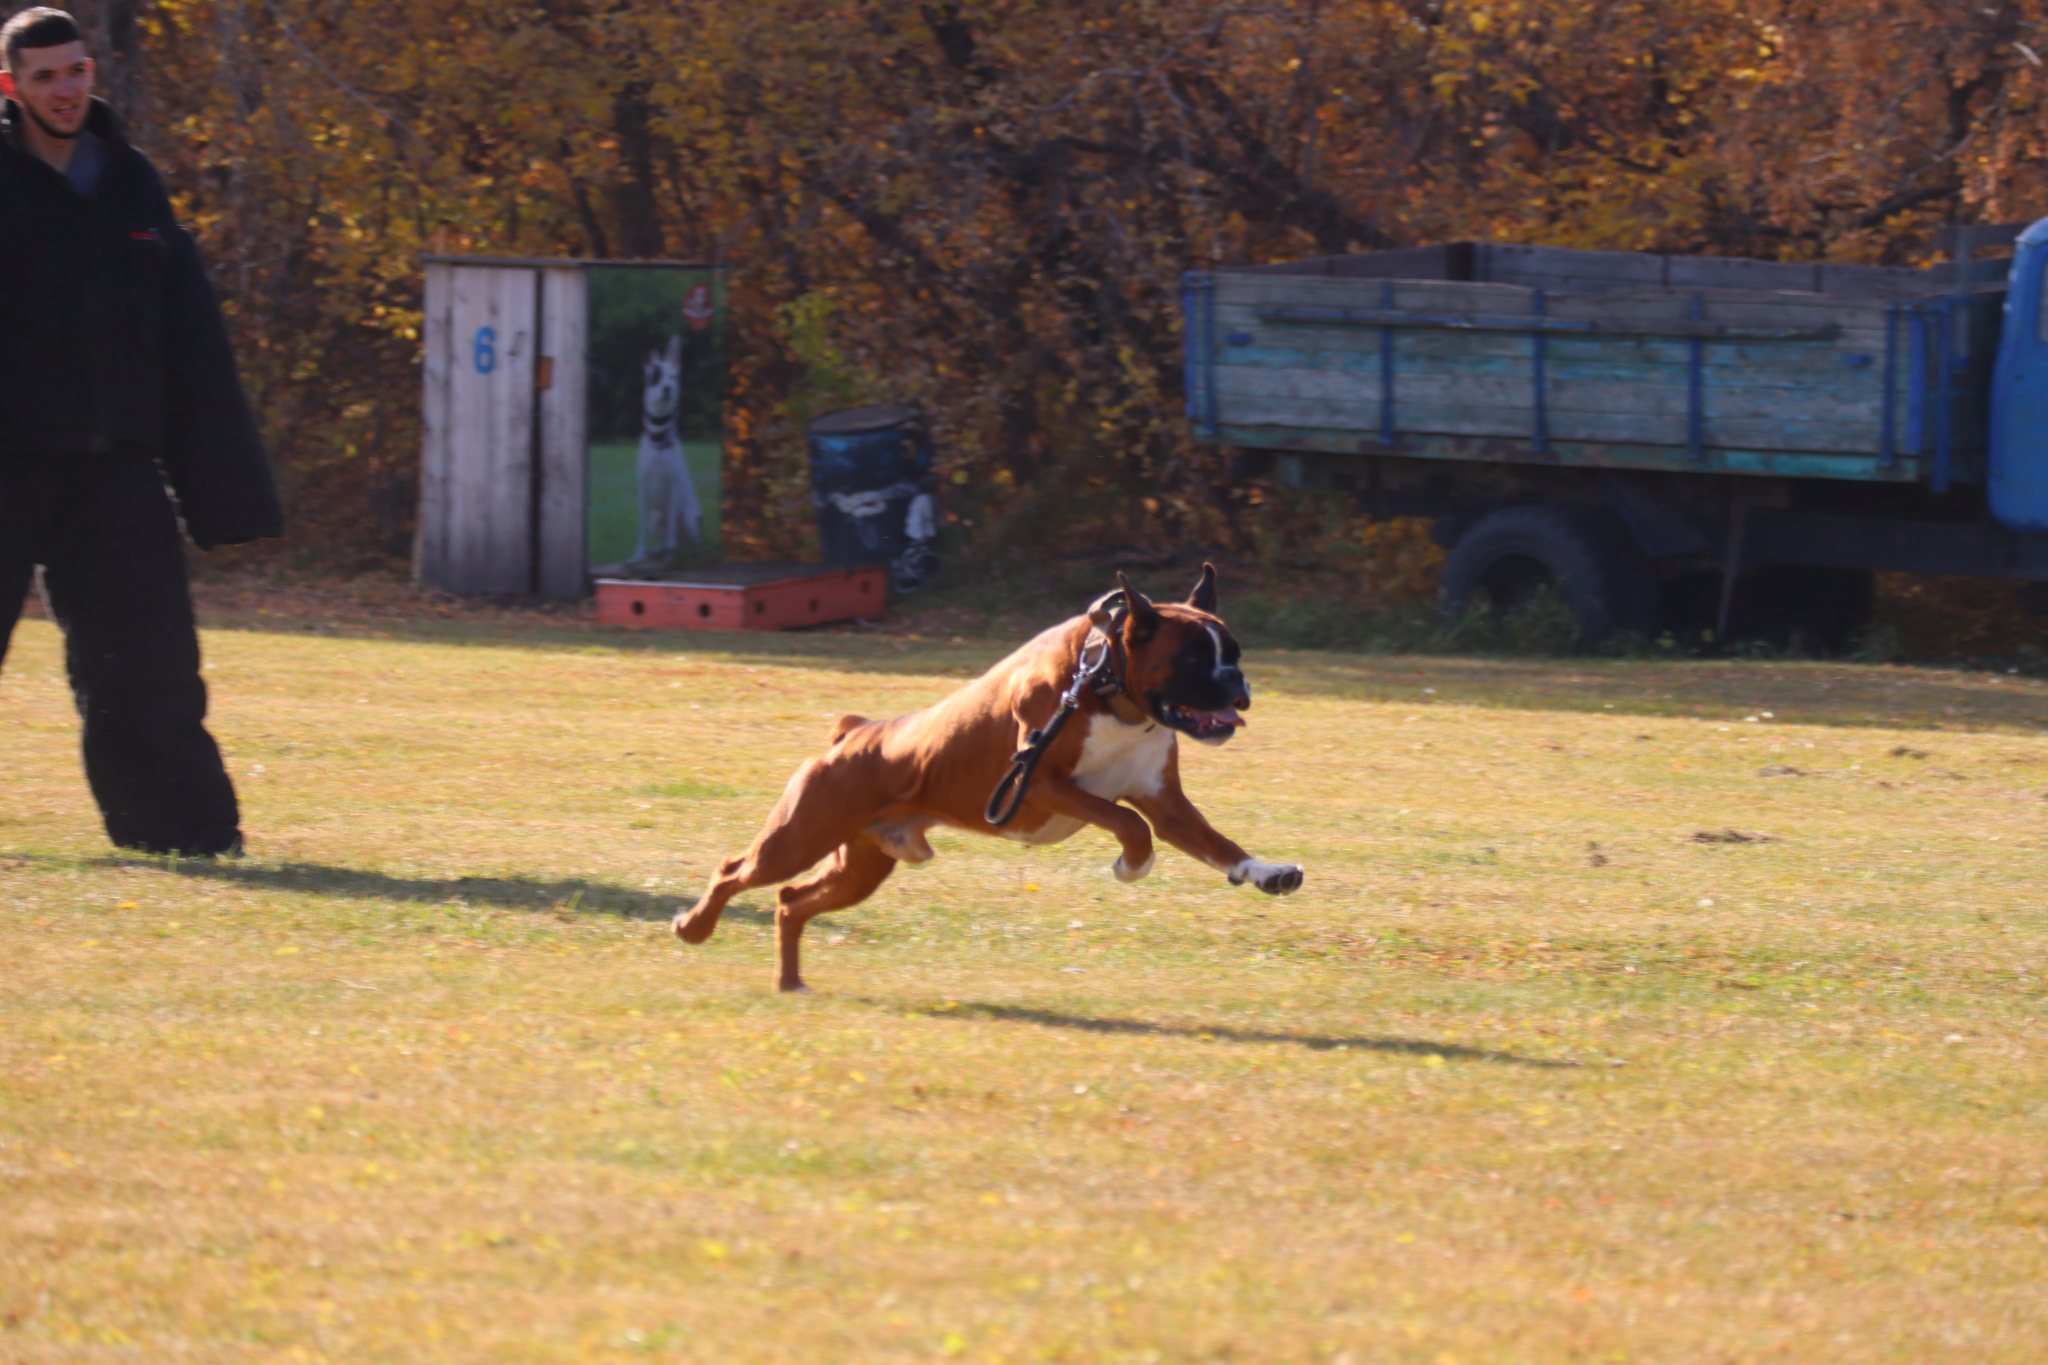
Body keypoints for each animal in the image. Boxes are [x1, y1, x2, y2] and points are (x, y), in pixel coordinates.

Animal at [679, 564, 1302, 994]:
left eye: (1235, 654)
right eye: (1195, 660)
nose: (1236, 681)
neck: (1104, 686)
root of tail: (853, 733)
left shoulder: (1167, 804)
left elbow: (1218, 844)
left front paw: (1266, 873)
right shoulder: (1042, 782)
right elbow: (1125, 821)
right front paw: (1132, 865)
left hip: (857, 870)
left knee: (790, 901)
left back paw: (789, 983)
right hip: (797, 839)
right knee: (734, 871)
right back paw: (694, 927)